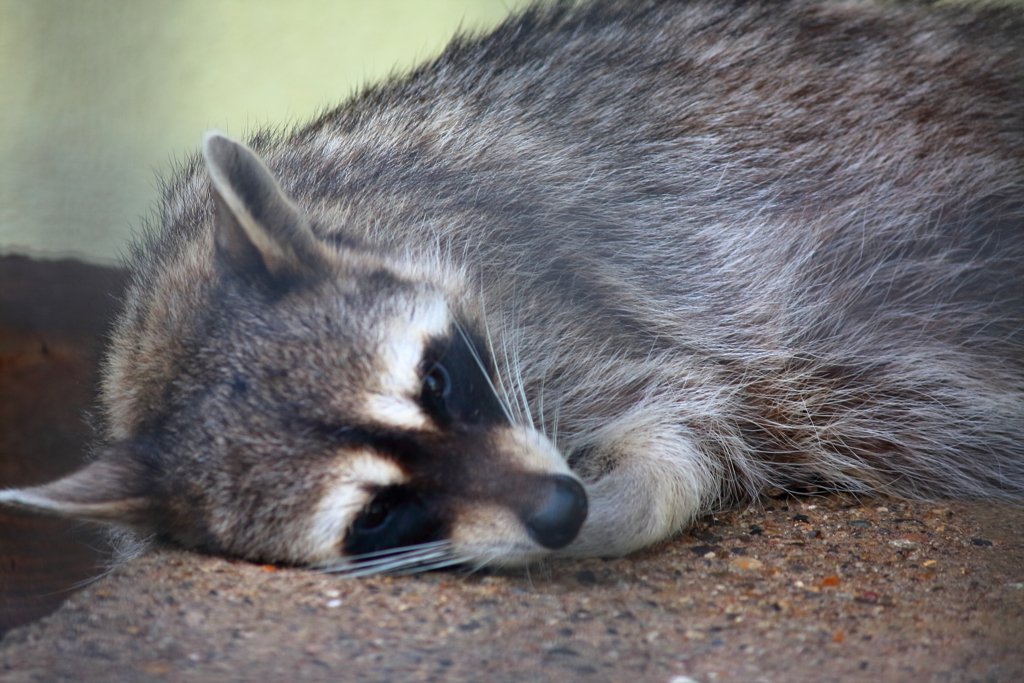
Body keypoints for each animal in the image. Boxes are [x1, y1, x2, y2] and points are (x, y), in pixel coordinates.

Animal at [2, 0, 1024, 573]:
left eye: (434, 378)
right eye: (378, 513)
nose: (564, 508)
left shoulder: (554, 281)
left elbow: (686, 414)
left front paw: (610, 506)